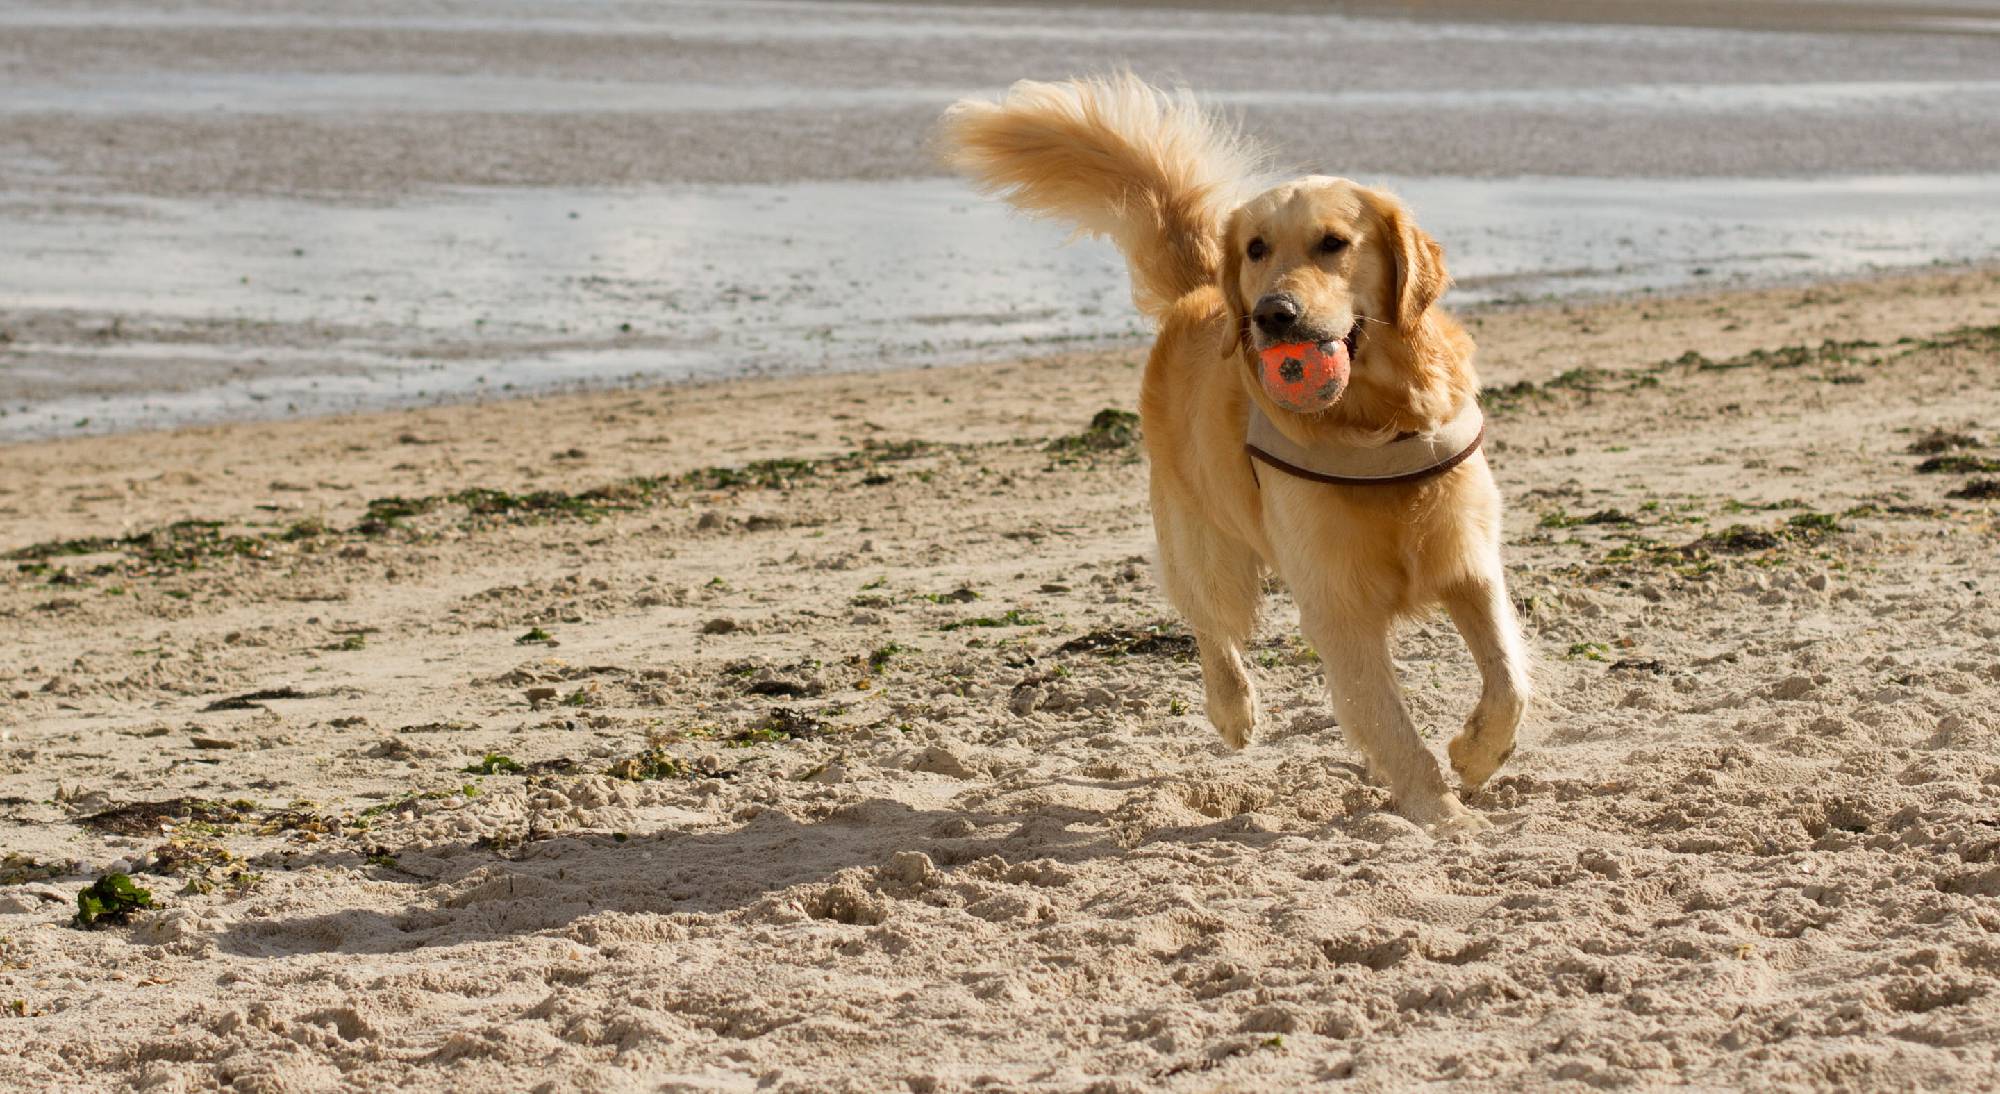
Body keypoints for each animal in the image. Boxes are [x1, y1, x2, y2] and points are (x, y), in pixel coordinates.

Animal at [939, 75, 1529, 834]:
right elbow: (1391, 724)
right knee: (1208, 623)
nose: (1273, 315)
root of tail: (1198, 292)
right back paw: (1233, 711)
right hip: (1205, 539)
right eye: (1255, 248)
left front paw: (1477, 755)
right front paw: (1444, 814)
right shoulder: (1337, 602)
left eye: (1334, 243)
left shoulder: (1468, 559)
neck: (1375, 421)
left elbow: (1508, 676)